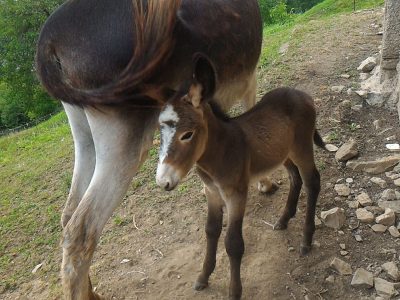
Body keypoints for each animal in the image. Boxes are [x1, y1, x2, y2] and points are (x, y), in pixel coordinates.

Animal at [155, 55, 324, 298]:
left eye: (187, 135)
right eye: (160, 133)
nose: (163, 181)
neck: (219, 152)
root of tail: (300, 93)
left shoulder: (236, 194)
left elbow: (233, 244)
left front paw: (234, 292)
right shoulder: (212, 192)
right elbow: (211, 231)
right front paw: (203, 277)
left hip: (302, 147)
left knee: (312, 181)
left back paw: (306, 239)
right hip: (283, 152)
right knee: (296, 178)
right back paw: (284, 219)